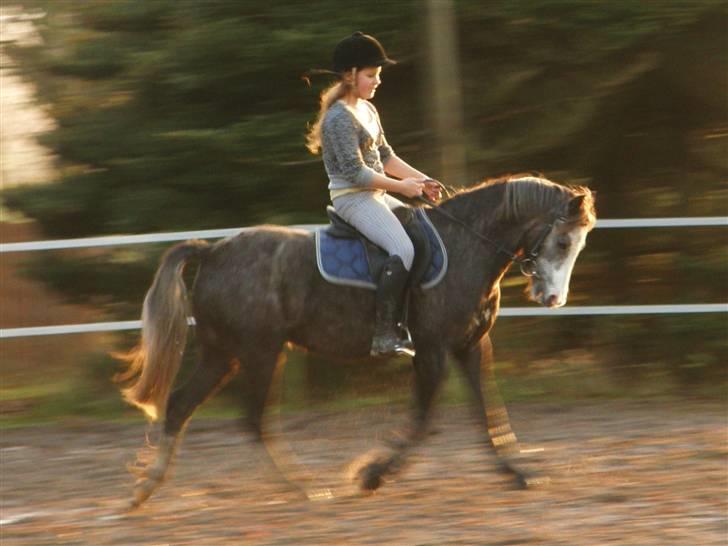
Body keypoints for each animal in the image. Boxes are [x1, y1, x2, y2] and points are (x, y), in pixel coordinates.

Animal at [116, 174, 596, 506]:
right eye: (563, 241)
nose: (552, 299)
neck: (466, 247)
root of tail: (214, 251)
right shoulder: (433, 350)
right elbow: (423, 421)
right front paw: (371, 475)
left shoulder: (472, 346)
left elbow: (490, 413)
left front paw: (518, 472)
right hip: (259, 353)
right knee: (255, 419)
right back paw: (305, 487)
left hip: (223, 354)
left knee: (180, 406)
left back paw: (146, 488)